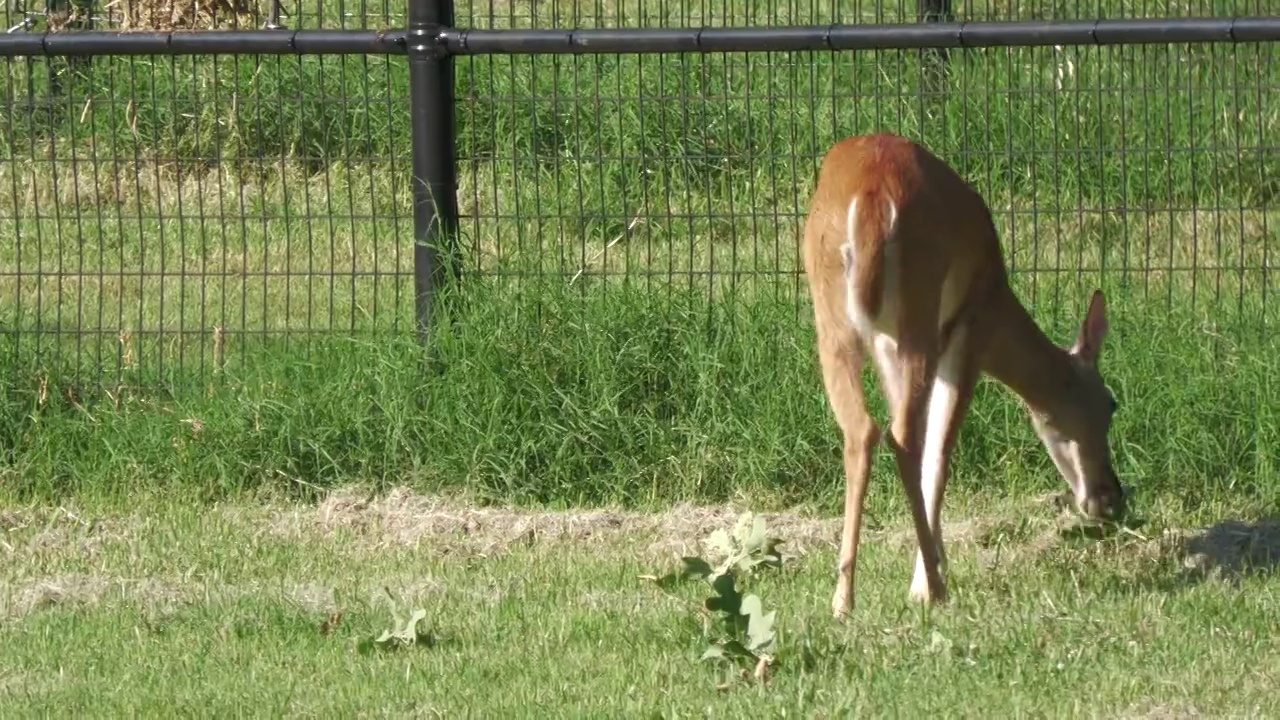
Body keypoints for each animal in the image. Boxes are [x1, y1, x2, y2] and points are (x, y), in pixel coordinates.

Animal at [803, 131, 1126, 614]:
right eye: (1111, 403)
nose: (1111, 500)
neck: (998, 294)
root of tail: (871, 197)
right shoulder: (968, 329)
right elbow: (940, 450)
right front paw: (925, 580)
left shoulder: (886, 344)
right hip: (919, 307)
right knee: (905, 437)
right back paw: (932, 589)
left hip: (833, 320)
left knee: (863, 430)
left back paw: (843, 600)